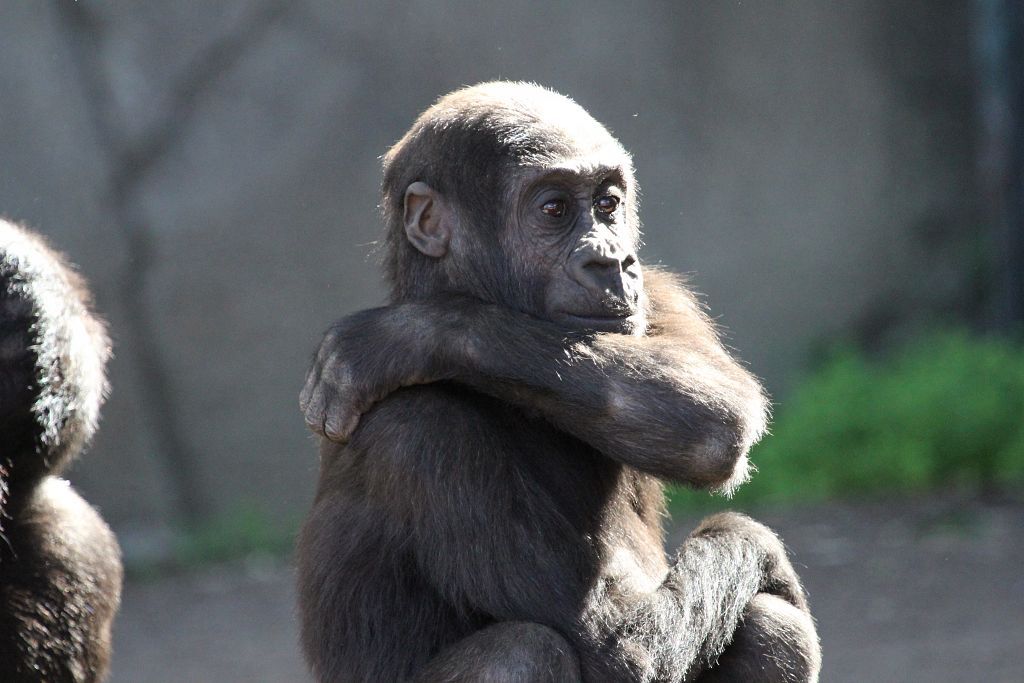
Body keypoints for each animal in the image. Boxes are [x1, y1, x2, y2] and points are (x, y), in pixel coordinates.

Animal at [299, 82, 819, 679]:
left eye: (607, 204)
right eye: (553, 209)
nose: (612, 262)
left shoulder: (661, 294)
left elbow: (716, 413)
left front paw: (413, 333)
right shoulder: (421, 436)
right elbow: (617, 643)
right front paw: (758, 542)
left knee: (769, 626)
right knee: (522, 650)